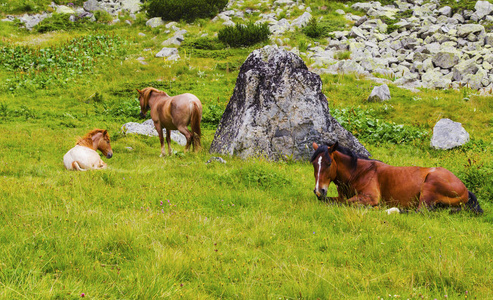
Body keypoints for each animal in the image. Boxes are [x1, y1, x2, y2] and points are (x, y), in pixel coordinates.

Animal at [310, 141, 482, 213]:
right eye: (313, 164)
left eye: (328, 163)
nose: (319, 191)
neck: (359, 172)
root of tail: (466, 190)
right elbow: (331, 201)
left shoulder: (369, 197)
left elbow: (346, 203)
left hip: (430, 185)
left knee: (420, 211)